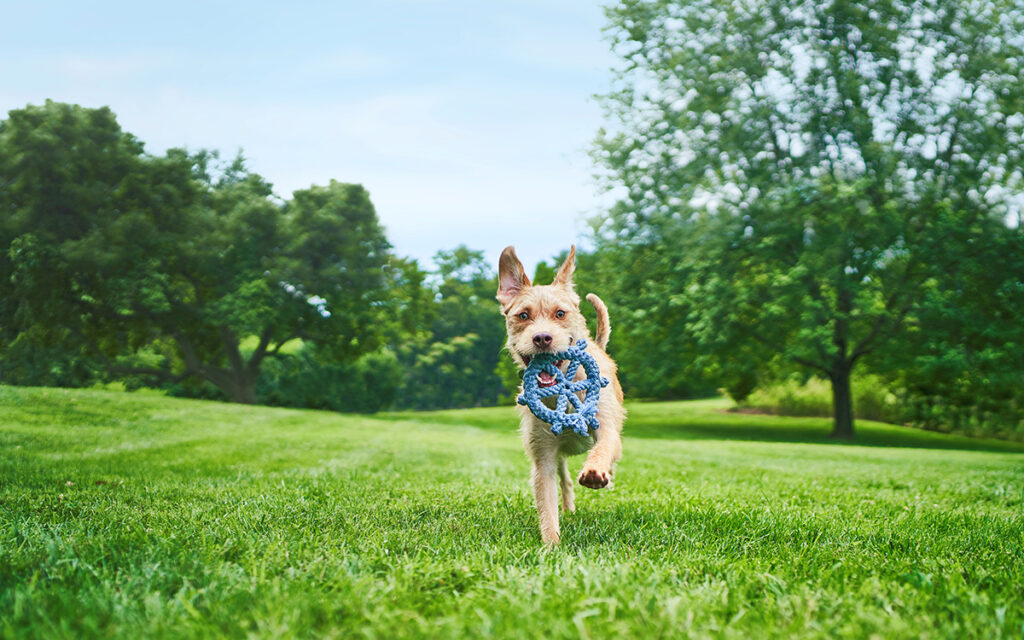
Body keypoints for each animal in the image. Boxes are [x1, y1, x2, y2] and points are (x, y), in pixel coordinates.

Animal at [495, 244, 622, 544]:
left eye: (560, 314)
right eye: (523, 316)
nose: (542, 338)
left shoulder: (605, 427)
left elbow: (604, 446)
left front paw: (595, 471)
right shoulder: (543, 457)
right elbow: (547, 503)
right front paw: (551, 545)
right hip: (560, 457)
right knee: (565, 480)